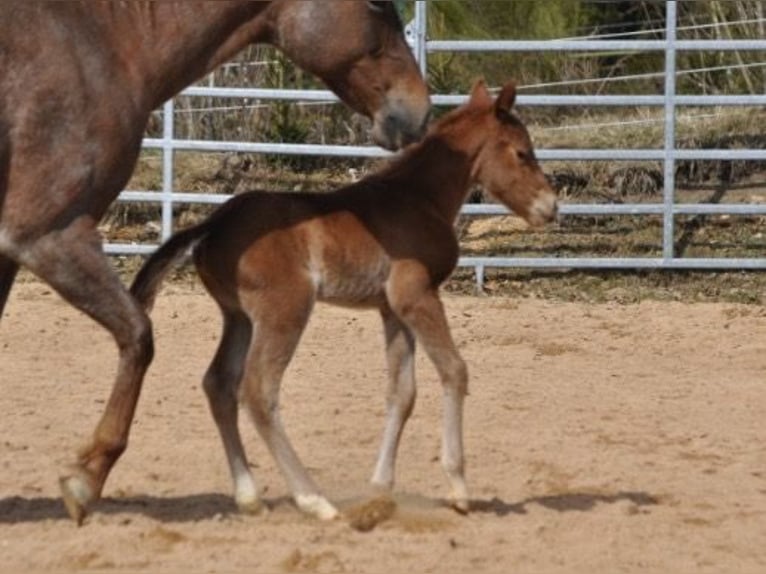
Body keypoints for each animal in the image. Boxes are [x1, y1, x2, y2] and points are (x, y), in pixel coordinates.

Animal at [0, 1, 430, 524]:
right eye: (377, 6)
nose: (420, 109)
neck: (101, 43)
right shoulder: (47, 236)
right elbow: (138, 335)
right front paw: (87, 478)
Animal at [130, 79, 558, 520]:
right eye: (522, 152)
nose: (551, 207)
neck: (418, 197)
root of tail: (213, 223)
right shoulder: (416, 296)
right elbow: (455, 371)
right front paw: (458, 487)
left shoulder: (392, 309)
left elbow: (402, 392)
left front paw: (381, 487)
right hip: (285, 310)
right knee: (259, 390)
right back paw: (313, 499)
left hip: (239, 318)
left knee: (220, 384)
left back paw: (249, 496)